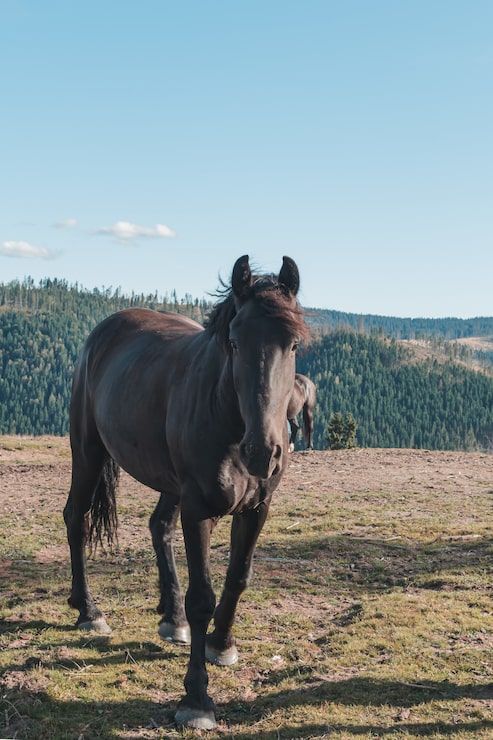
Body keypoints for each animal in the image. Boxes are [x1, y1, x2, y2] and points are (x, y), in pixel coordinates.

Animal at [63, 255, 309, 730]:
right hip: (87, 453)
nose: (262, 452)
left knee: (158, 526)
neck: (229, 421)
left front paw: (221, 644)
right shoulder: (199, 510)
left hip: (168, 482)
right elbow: (202, 598)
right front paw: (196, 698)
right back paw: (89, 611)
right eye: (234, 341)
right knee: (75, 518)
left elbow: (239, 576)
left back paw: (170, 616)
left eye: (293, 345)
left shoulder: (257, 508)